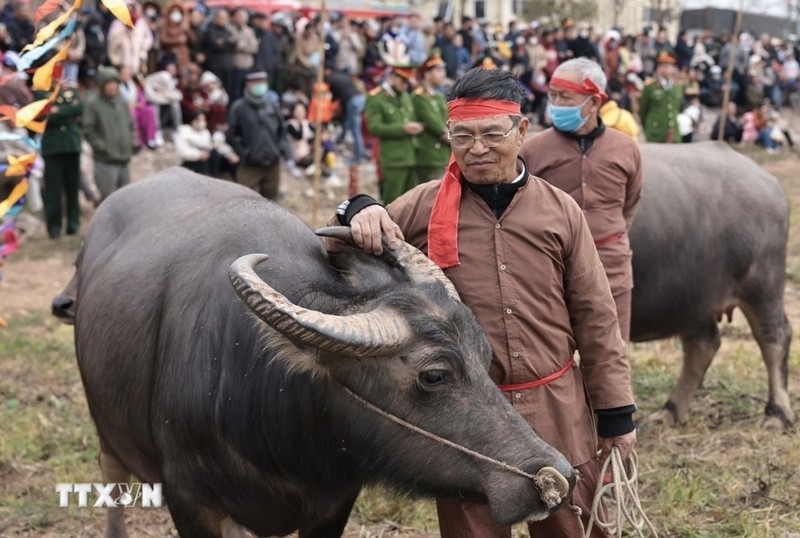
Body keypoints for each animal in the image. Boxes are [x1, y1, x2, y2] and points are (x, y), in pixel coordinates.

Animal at [54, 170, 576, 536]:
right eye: (434, 375)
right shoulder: (191, 502)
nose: (557, 473)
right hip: (108, 433)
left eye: (485, 357)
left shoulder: (333, 502)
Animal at [632, 141, 792, 428]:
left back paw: (777, 414)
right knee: (703, 344)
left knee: (774, 338)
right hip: (692, 297)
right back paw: (670, 410)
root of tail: (768, 181)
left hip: (763, 284)